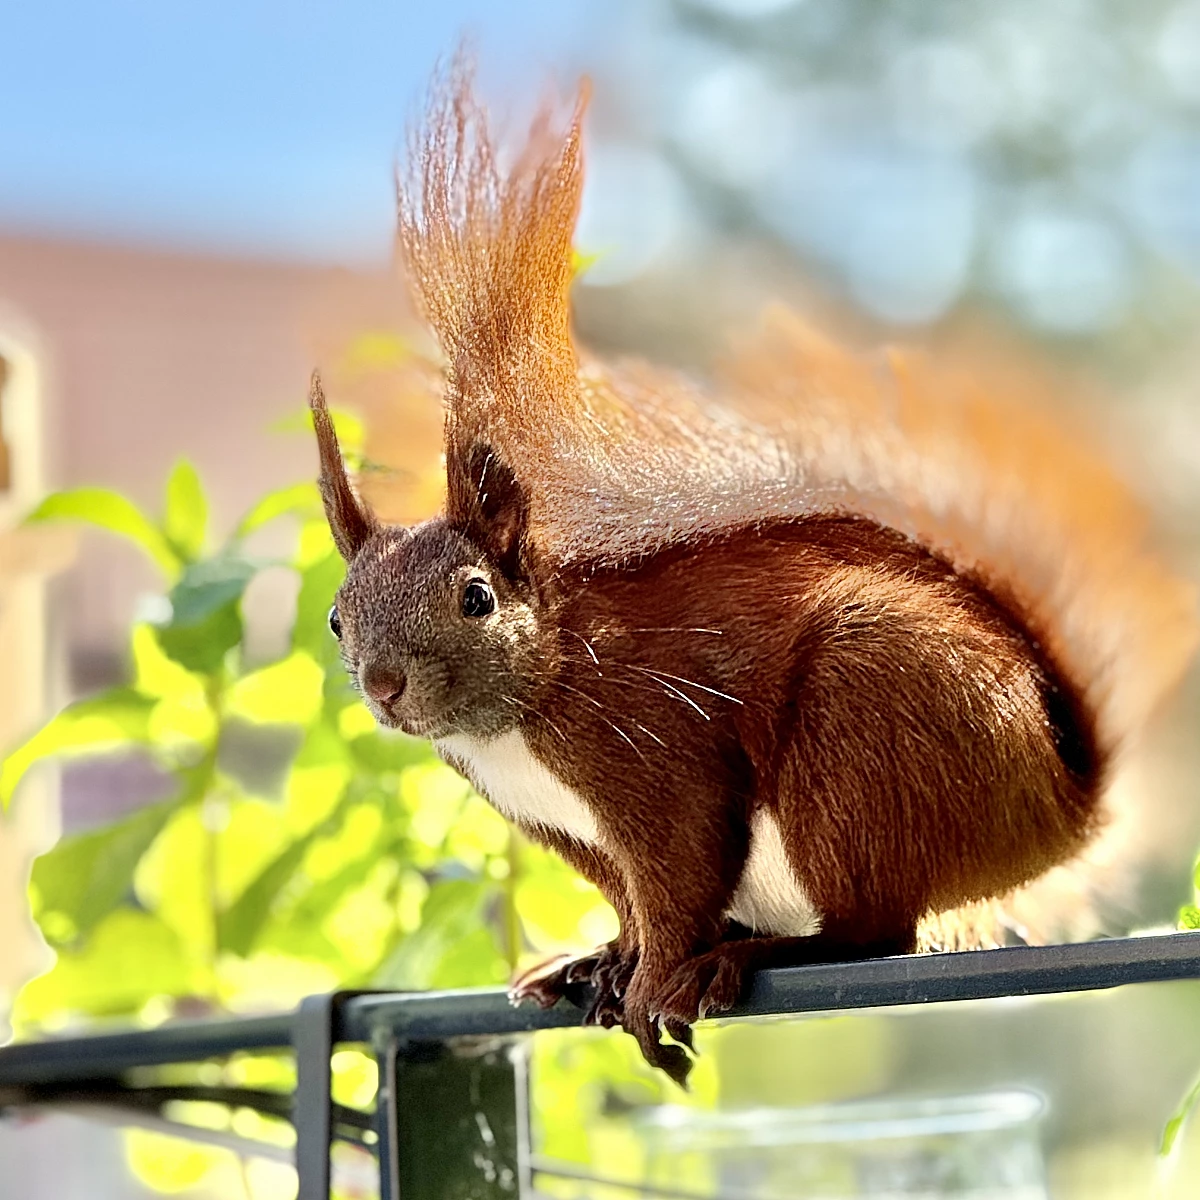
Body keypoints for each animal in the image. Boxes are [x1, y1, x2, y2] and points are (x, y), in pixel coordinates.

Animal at [309, 58, 1200, 1089]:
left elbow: (679, 865)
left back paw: (762, 953)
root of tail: (1062, 807)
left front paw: (653, 977)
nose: (384, 685)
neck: (527, 708)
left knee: (876, 929)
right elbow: (634, 897)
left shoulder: (650, 744)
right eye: (336, 619)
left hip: (865, 729)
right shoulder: (570, 828)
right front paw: (610, 959)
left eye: (476, 597)